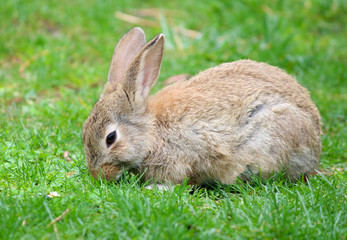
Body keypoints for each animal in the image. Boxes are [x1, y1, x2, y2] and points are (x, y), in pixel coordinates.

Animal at [83, 27, 322, 186]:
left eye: (111, 138)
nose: (99, 176)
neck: (152, 132)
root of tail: (316, 145)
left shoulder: (183, 156)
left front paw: (155, 188)